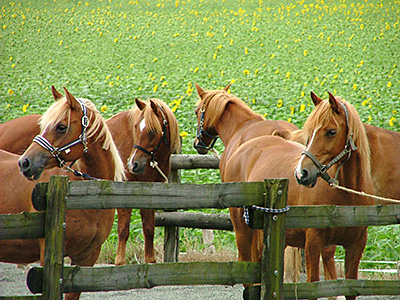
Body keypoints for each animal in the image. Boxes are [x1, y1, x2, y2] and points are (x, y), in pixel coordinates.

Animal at [107, 97, 180, 264]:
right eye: (135, 127)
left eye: (152, 131)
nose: (133, 164)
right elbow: (123, 229)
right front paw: (120, 262)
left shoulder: (150, 192)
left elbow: (149, 228)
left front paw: (150, 260)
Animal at [199, 91, 376, 300]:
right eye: (309, 132)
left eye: (331, 131)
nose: (302, 173)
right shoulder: (313, 243)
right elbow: (313, 286)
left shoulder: (356, 246)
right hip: (242, 227)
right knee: (245, 264)